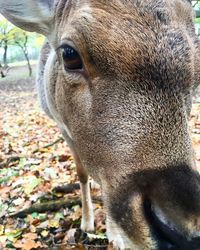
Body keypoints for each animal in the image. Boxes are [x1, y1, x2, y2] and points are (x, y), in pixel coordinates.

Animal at [1, 0, 200, 249]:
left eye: (198, 70)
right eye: (69, 54)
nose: (180, 232)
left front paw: (114, 235)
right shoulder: (62, 127)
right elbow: (82, 173)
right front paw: (87, 223)